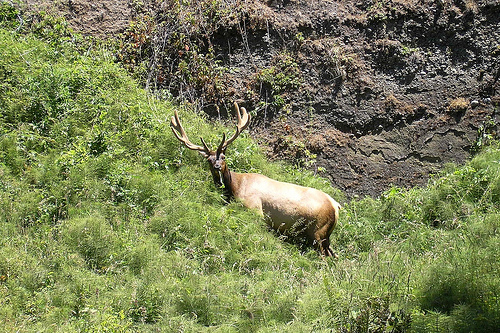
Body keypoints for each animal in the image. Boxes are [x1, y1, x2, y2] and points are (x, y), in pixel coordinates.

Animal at [171, 102, 340, 255]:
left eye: (223, 156)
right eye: (209, 160)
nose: (217, 166)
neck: (235, 188)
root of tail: (336, 206)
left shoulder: (255, 210)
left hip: (318, 231)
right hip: (325, 236)